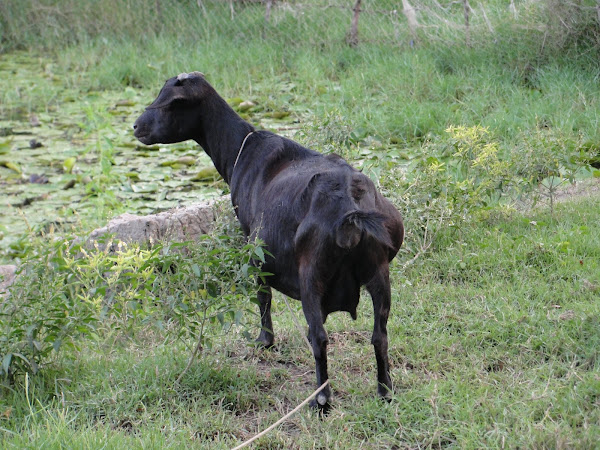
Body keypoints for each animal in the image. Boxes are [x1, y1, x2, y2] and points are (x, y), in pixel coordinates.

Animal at [132, 72, 404, 414]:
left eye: (170, 103)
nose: (136, 127)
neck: (242, 149)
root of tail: (351, 209)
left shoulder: (253, 245)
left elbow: (262, 296)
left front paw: (265, 341)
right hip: (379, 270)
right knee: (380, 335)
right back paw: (385, 391)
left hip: (311, 275)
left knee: (319, 336)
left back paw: (321, 399)